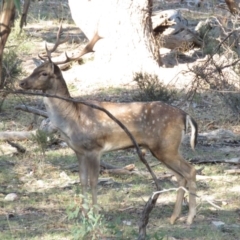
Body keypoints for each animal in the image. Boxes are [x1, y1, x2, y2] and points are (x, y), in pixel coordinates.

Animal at [19, 26, 198, 225]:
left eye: (44, 73)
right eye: (34, 69)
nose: (21, 82)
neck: (72, 118)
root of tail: (185, 115)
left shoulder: (94, 148)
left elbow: (93, 181)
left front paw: (95, 214)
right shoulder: (78, 150)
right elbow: (82, 180)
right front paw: (83, 215)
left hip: (166, 146)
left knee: (190, 171)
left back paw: (190, 218)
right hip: (163, 149)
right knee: (180, 176)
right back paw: (174, 217)